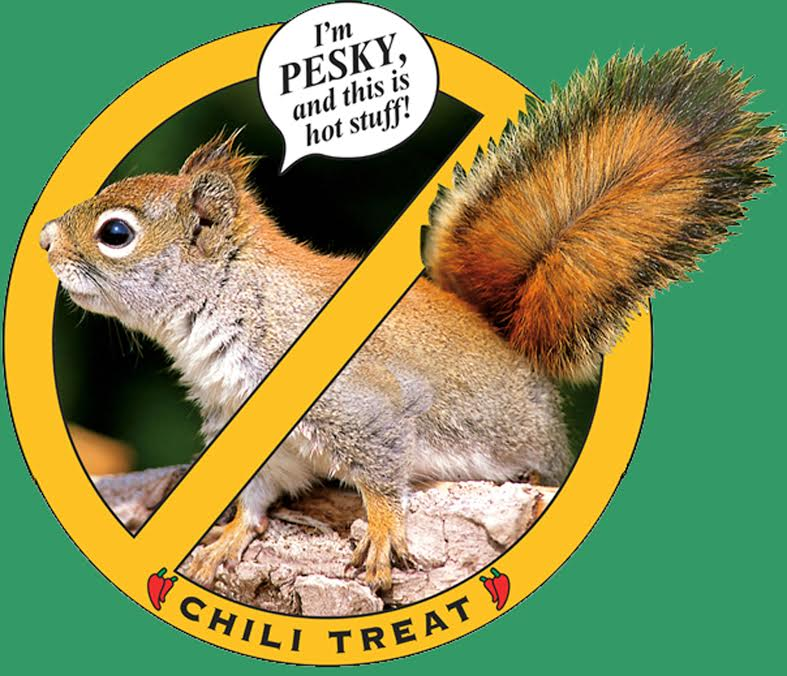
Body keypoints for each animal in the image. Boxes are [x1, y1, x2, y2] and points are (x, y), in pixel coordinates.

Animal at [40, 47, 782, 591]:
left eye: (115, 232)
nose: (44, 241)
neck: (235, 305)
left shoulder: (357, 399)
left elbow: (379, 466)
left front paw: (383, 530)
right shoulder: (252, 432)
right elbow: (255, 491)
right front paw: (228, 535)